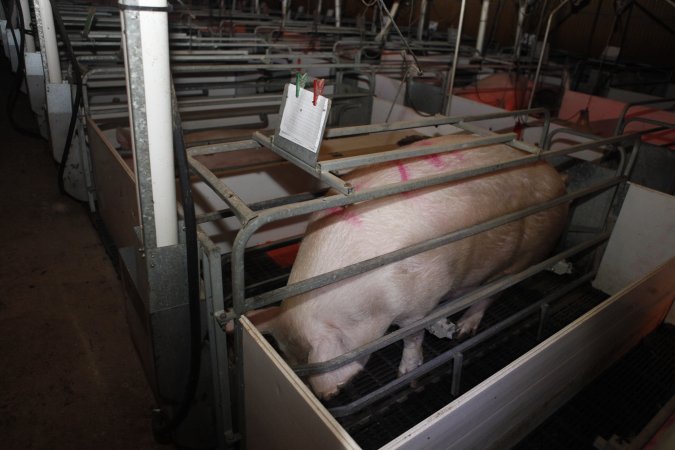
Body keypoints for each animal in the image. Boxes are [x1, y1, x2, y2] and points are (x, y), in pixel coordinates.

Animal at [254, 134, 572, 400]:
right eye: (291, 358)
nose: (328, 396)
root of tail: (556, 176)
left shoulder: (421, 300)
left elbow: (412, 337)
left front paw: (406, 375)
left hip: (523, 257)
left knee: (488, 297)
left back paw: (463, 330)